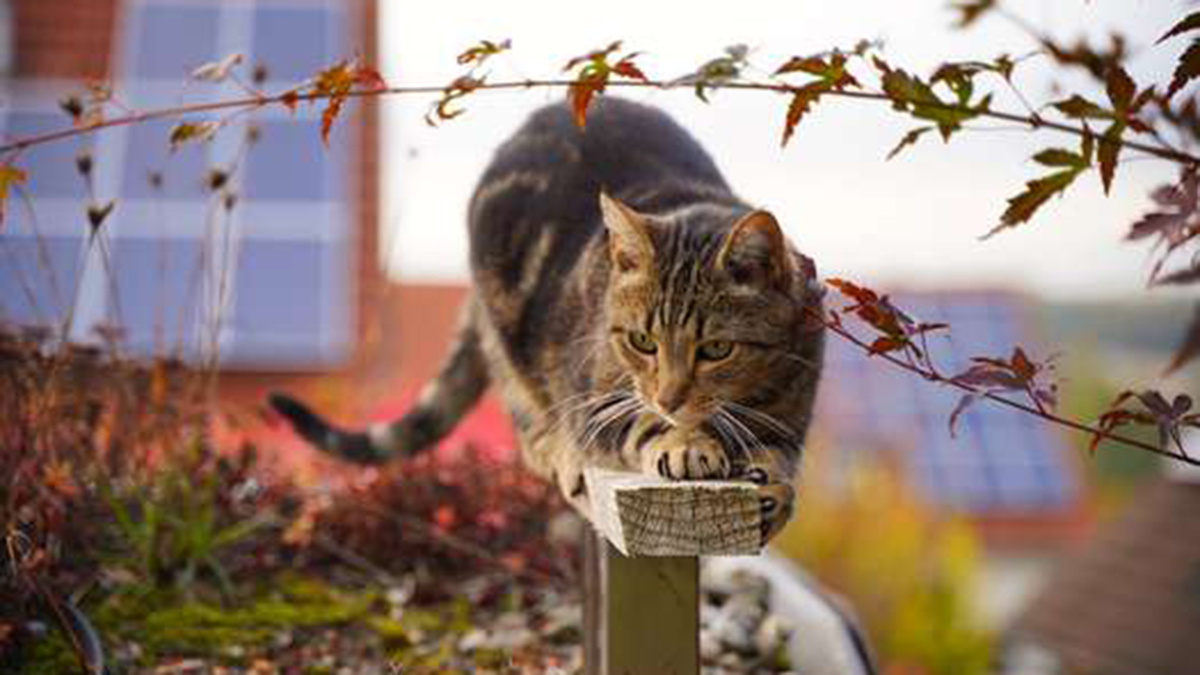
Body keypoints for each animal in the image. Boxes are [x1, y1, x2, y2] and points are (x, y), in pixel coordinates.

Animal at [270, 97, 825, 540]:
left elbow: (778, 458)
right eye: (642, 341)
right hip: (507, 331)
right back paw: (558, 450)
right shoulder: (598, 400)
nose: (669, 398)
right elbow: (639, 421)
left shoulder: (790, 419)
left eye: (716, 349)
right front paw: (686, 443)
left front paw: (774, 490)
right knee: (526, 418)